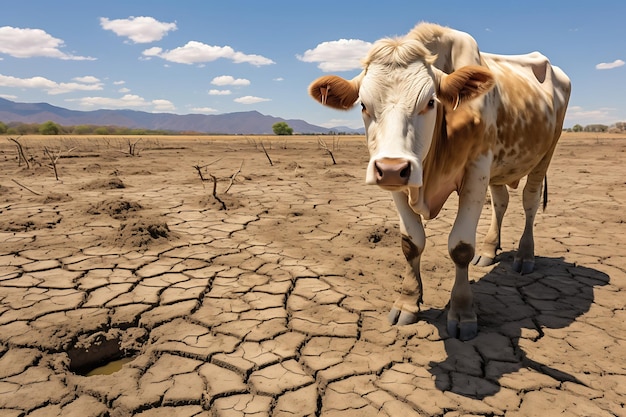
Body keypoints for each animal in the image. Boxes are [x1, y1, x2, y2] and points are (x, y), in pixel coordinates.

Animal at [308, 22, 572, 340]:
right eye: (363, 105)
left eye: (430, 102)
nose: (392, 168)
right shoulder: (402, 183)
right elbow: (411, 243)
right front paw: (408, 301)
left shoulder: (476, 171)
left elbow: (460, 247)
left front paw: (462, 312)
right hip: (499, 167)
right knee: (501, 202)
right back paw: (488, 250)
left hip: (546, 153)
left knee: (529, 202)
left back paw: (524, 256)